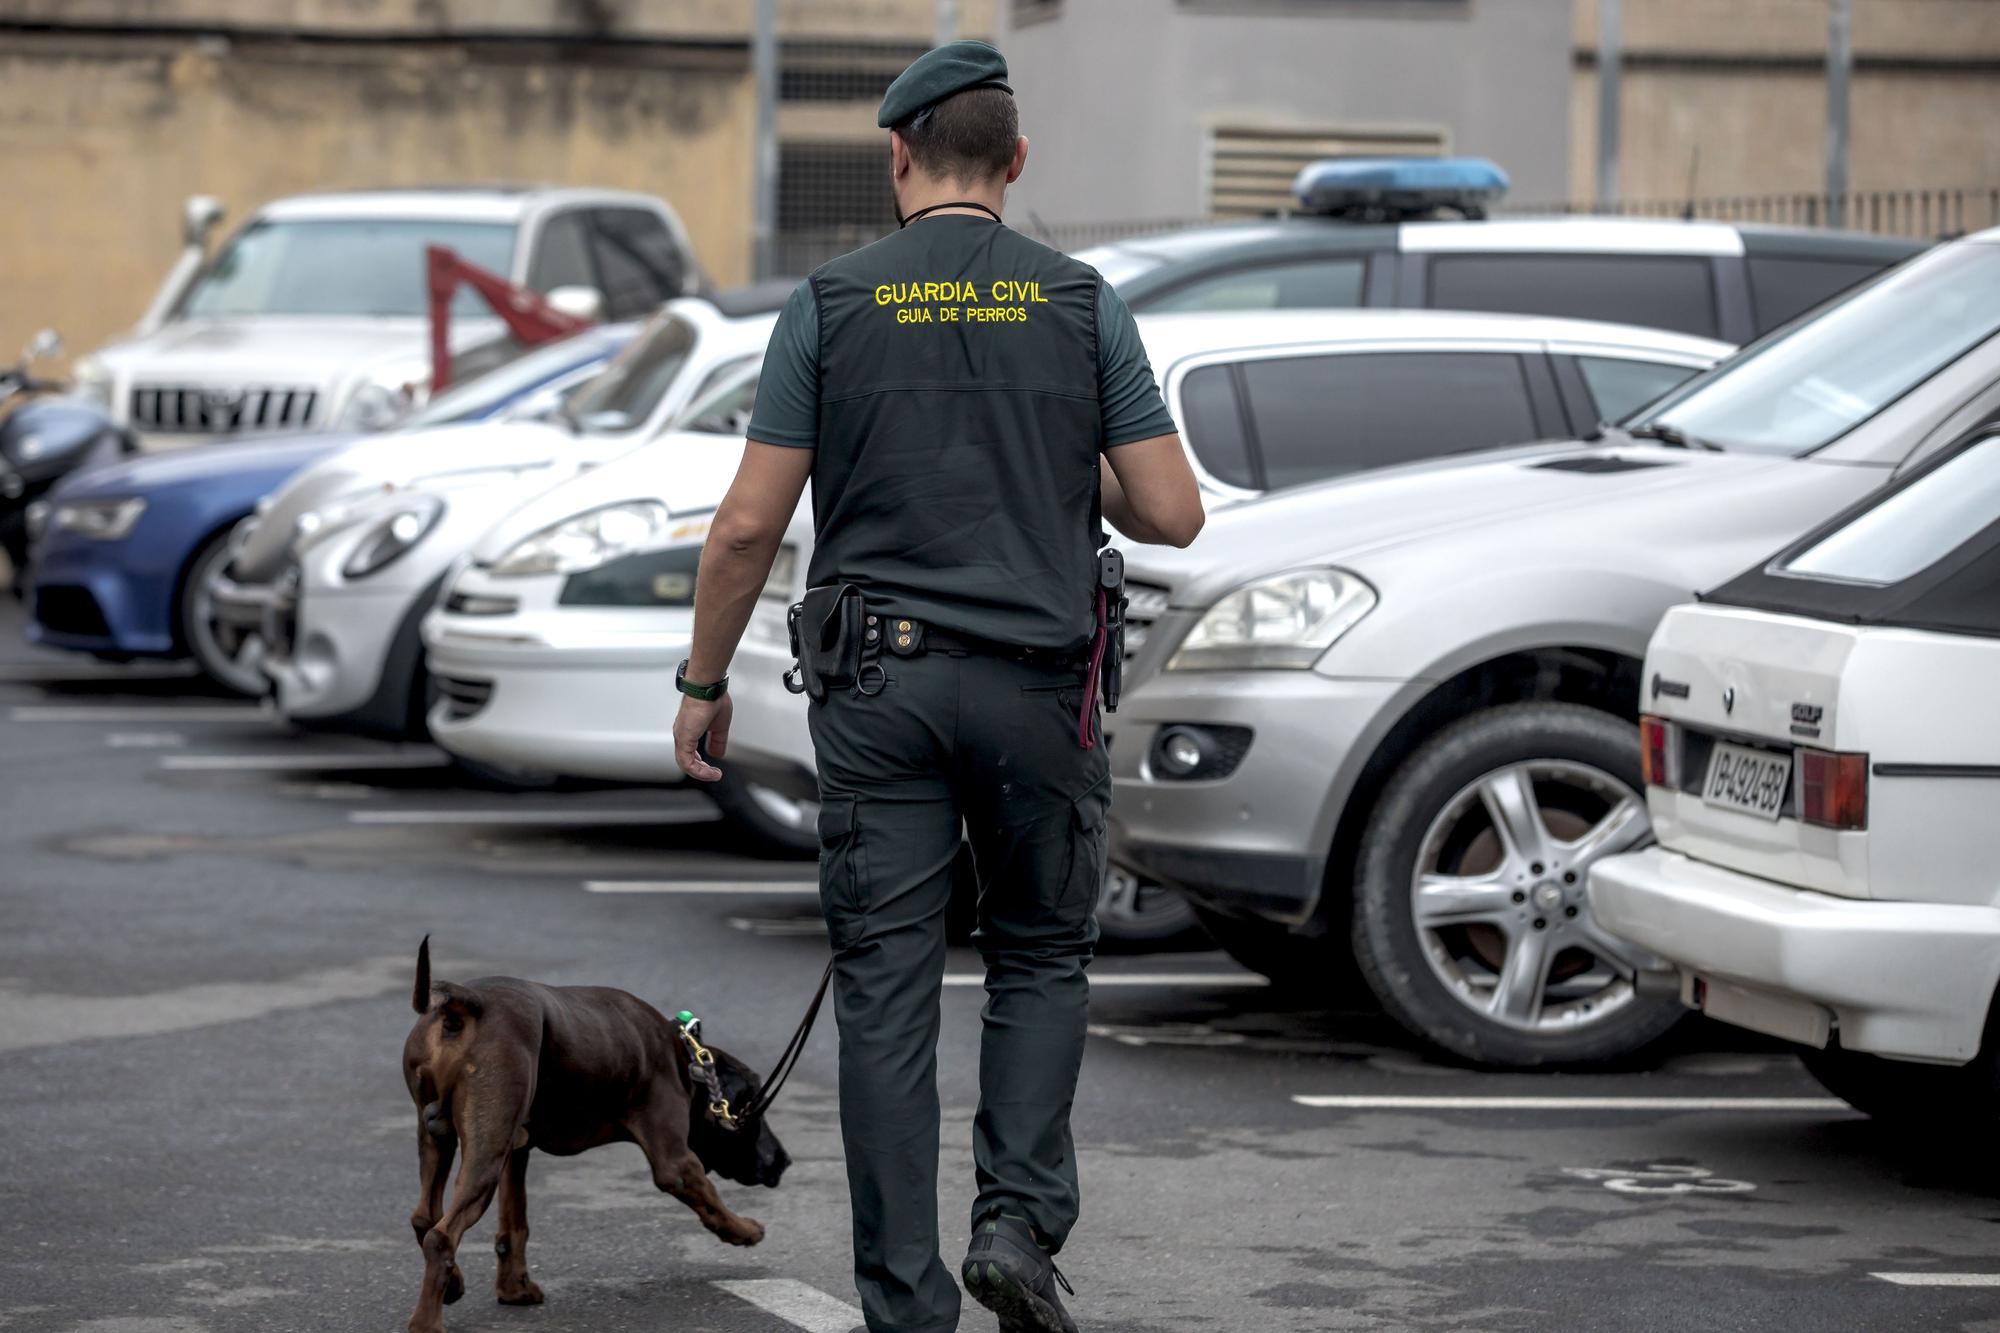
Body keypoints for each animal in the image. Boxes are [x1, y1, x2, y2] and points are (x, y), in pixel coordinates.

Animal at [398, 932, 788, 1328]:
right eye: (755, 1103)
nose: (784, 1160)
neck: (686, 1058)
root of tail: (465, 1004)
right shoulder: (676, 1163)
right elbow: (712, 1201)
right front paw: (744, 1230)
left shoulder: (516, 1151)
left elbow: (514, 1224)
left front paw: (515, 1289)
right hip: (484, 1156)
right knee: (441, 1236)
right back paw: (426, 1322)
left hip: (442, 1138)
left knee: (425, 1218)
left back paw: (453, 1283)